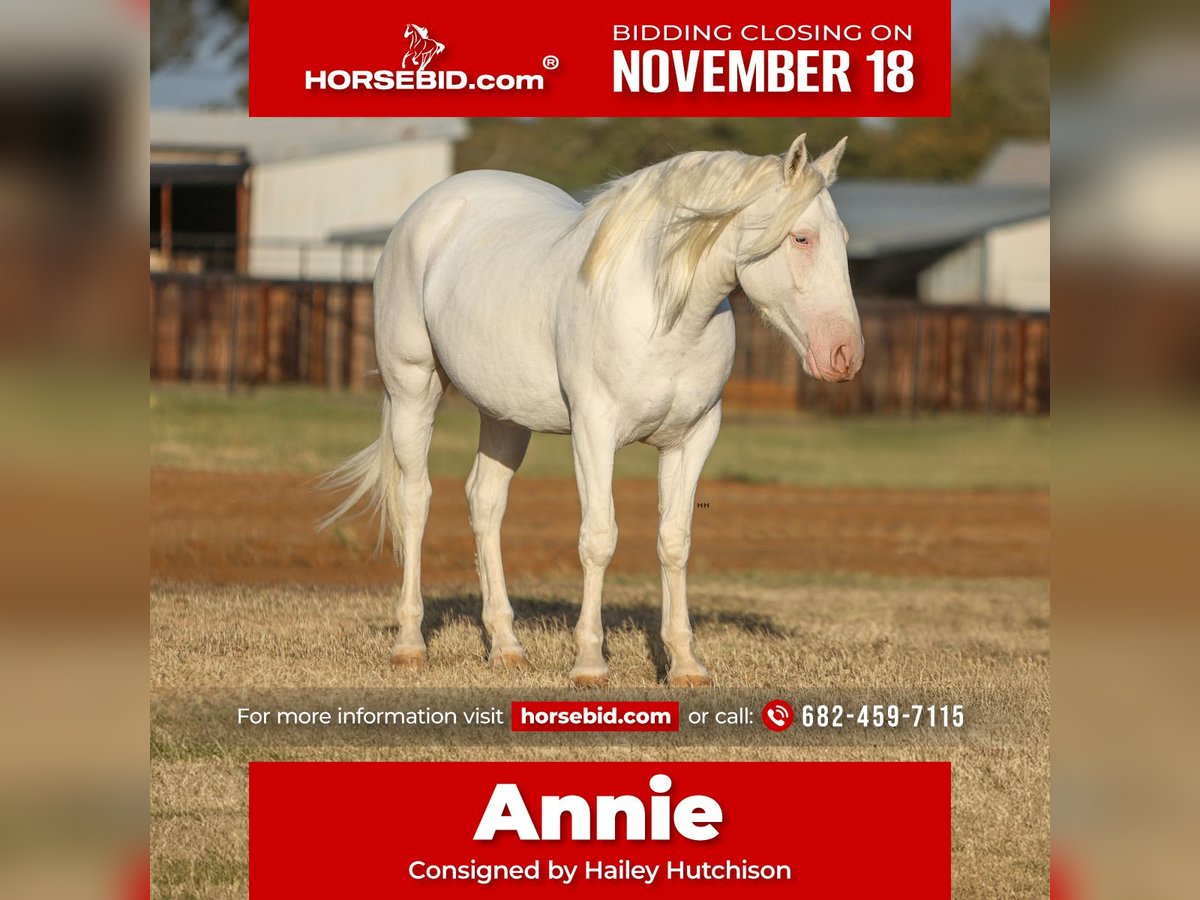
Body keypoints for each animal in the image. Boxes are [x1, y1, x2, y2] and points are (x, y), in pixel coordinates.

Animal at [321, 133, 864, 686]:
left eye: (841, 238)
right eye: (802, 239)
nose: (845, 356)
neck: (664, 313)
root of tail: (431, 207)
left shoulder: (693, 437)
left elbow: (675, 540)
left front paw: (685, 664)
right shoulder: (594, 432)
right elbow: (599, 538)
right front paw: (589, 662)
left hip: (505, 417)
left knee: (485, 503)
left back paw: (506, 647)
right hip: (413, 389)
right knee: (415, 502)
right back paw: (410, 644)